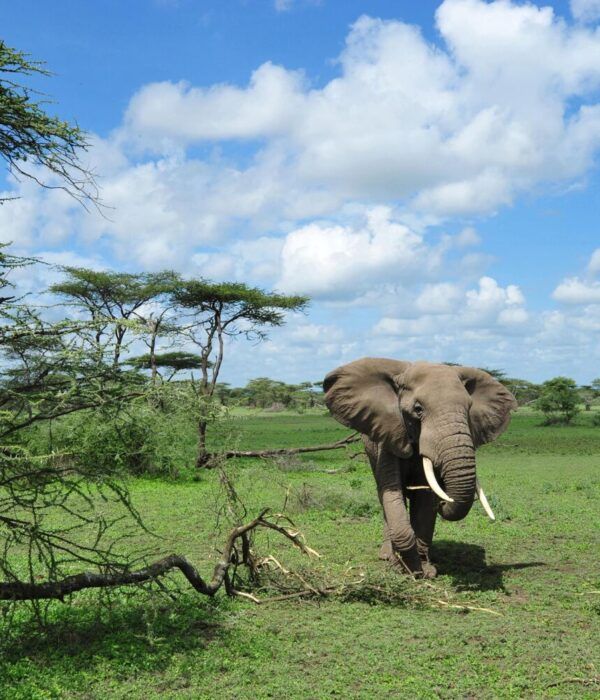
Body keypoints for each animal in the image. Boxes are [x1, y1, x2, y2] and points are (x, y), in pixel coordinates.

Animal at [323, 358, 517, 578]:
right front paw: (405, 568)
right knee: (383, 495)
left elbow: (425, 499)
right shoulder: (389, 434)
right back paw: (386, 555)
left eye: (469, 409)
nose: (443, 503)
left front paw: (425, 570)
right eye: (418, 409)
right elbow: (393, 493)